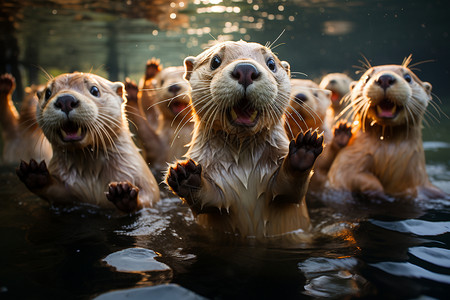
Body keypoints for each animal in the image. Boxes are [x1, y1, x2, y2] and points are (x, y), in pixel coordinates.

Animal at [16, 72, 160, 213]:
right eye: (48, 93)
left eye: (95, 90)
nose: (65, 100)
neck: (92, 177)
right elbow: (57, 193)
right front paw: (35, 175)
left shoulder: (144, 180)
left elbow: (147, 199)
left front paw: (123, 193)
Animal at [165, 40, 324, 241]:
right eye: (215, 61)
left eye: (271, 63)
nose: (246, 69)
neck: (245, 167)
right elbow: (208, 202)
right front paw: (185, 176)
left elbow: (291, 191)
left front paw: (304, 149)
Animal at [326, 57, 446, 200]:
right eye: (366, 78)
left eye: (408, 77)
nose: (385, 78)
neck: (387, 153)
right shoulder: (347, 160)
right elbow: (350, 175)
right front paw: (376, 191)